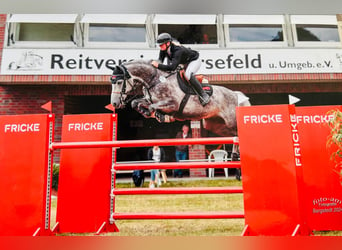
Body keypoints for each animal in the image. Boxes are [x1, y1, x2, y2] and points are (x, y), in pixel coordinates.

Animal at [111, 59, 250, 137]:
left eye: (119, 82)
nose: (114, 103)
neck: (155, 80)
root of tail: (236, 95)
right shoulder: (149, 99)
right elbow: (135, 102)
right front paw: (150, 112)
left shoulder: (173, 104)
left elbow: (152, 106)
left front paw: (153, 113)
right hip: (215, 125)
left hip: (231, 122)